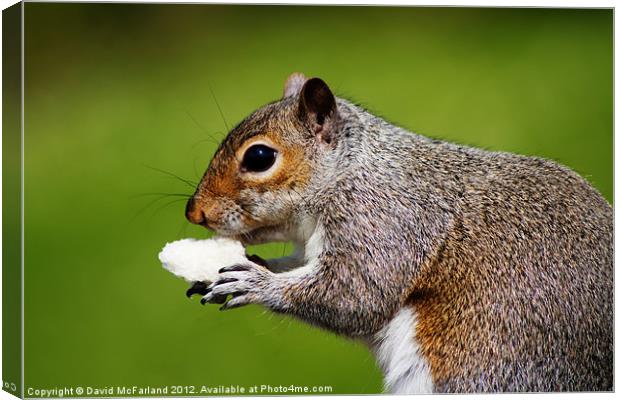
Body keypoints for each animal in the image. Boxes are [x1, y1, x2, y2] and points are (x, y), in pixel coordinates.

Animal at [183, 73, 612, 392]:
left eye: (259, 157)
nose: (194, 212)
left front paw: (256, 283)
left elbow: (355, 294)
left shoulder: (382, 220)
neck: (349, 169)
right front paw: (247, 267)